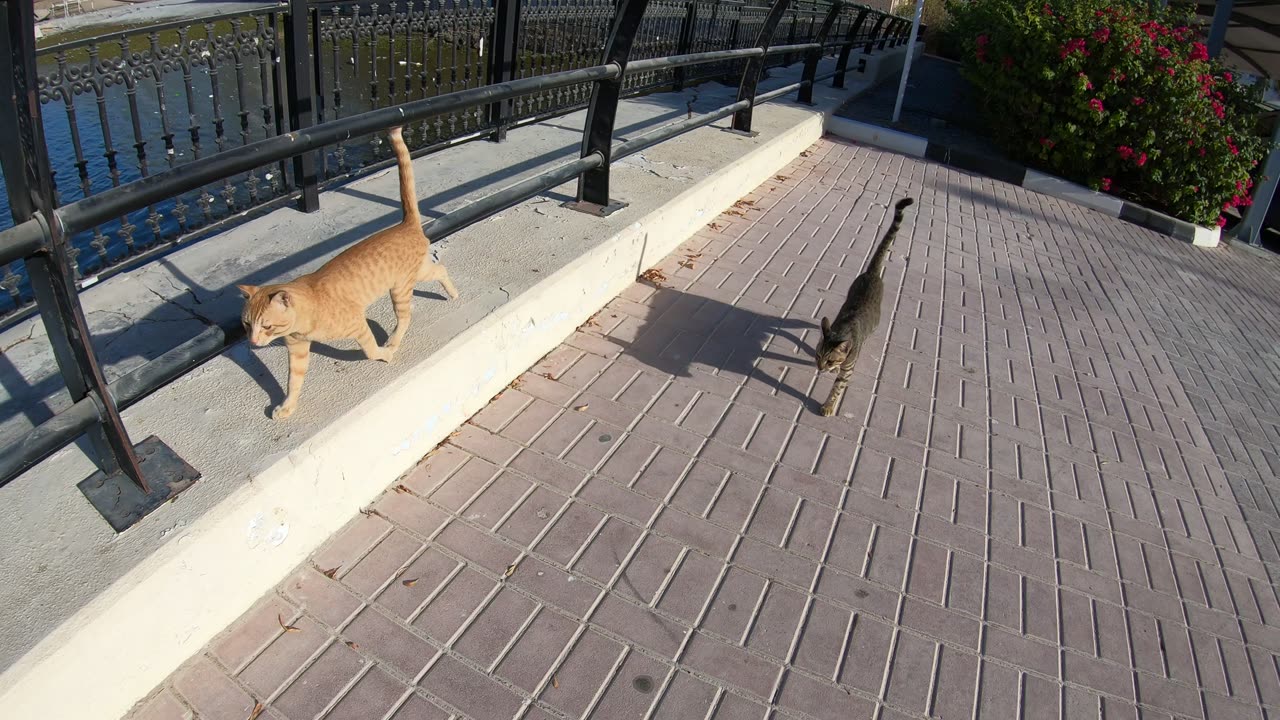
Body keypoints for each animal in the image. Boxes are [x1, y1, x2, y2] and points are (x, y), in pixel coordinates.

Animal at [238, 126, 458, 417]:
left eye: (267, 325)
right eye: (246, 324)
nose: (252, 342)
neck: (303, 321)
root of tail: (405, 224)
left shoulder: (358, 324)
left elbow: (369, 350)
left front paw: (384, 354)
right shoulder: (297, 351)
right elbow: (294, 381)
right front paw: (287, 407)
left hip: (401, 288)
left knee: (409, 311)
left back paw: (396, 339)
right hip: (414, 275)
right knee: (440, 269)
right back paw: (452, 293)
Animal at [819, 198, 911, 417]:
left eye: (830, 360)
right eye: (818, 356)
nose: (819, 368)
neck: (843, 330)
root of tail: (872, 273)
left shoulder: (848, 369)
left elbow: (837, 388)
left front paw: (828, 406)